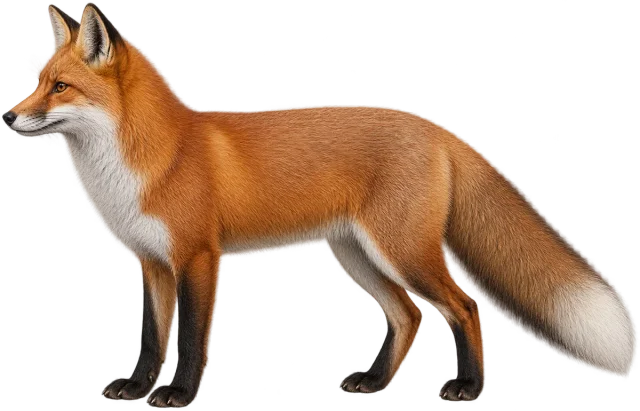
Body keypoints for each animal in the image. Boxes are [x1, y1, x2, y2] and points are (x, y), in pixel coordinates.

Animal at [4, 2, 637, 408]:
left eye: (61, 88)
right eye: (35, 82)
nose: (9, 115)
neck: (150, 158)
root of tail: (435, 128)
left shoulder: (199, 259)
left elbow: (188, 340)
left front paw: (178, 395)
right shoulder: (152, 264)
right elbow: (149, 340)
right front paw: (137, 390)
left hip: (403, 253)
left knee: (465, 307)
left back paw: (469, 390)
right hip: (358, 257)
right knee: (408, 317)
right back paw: (376, 385)